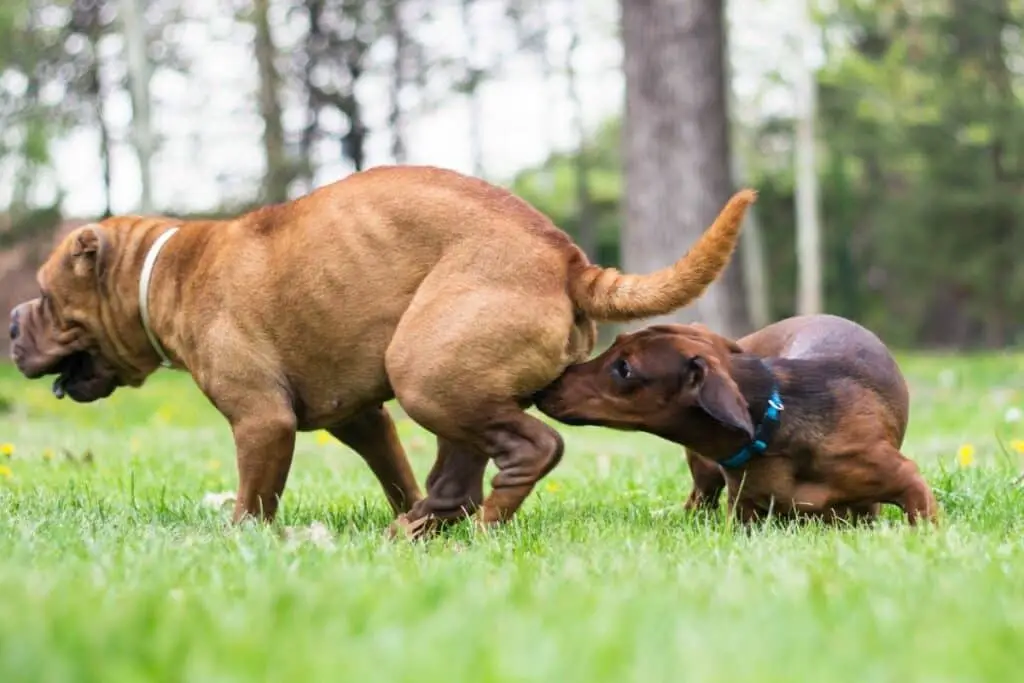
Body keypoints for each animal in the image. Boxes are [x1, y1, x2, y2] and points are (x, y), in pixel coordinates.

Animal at [8, 166, 757, 540]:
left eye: (44, 294)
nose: (13, 322)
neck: (161, 270)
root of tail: (567, 259)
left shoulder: (261, 421)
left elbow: (254, 496)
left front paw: (238, 537)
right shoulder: (359, 417)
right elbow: (393, 466)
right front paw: (404, 501)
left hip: (425, 370)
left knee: (531, 449)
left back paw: (483, 526)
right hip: (448, 383)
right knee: (457, 472)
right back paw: (421, 525)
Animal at [540, 313, 937, 528]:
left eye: (624, 368)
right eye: (616, 341)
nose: (548, 382)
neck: (772, 431)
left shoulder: (907, 480)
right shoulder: (744, 512)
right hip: (705, 475)